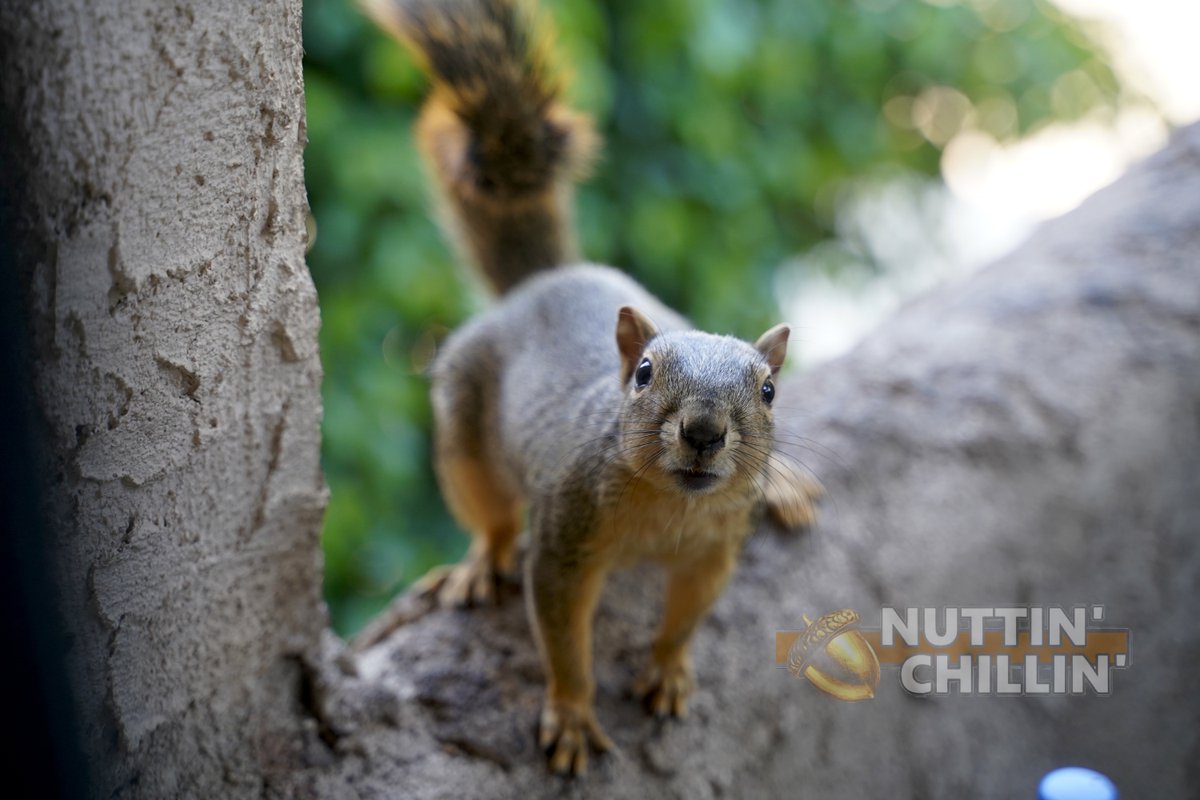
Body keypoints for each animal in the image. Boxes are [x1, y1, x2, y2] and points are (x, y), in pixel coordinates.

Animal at [362, 0, 821, 777]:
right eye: (643, 375)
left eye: (768, 391)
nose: (703, 432)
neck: (670, 511)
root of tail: (545, 282)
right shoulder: (563, 540)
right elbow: (563, 638)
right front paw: (574, 716)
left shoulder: (716, 548)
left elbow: (689, 615)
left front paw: (668, 669)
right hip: (463, 425)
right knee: (488, 513)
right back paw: (480, 562)